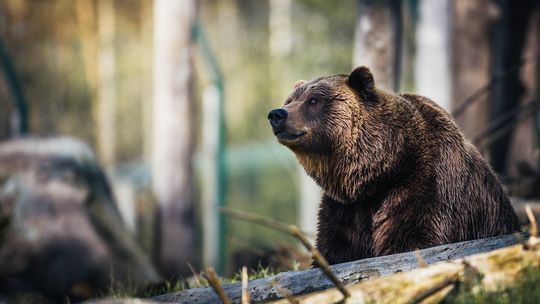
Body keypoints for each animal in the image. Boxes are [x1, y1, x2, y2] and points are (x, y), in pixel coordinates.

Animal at [268, 66, 520, 264]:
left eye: (313, 100)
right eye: (290, 100)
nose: (277, 114)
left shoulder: (425, 186)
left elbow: (412, 239)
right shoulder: (345, 209)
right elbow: (336, 249)